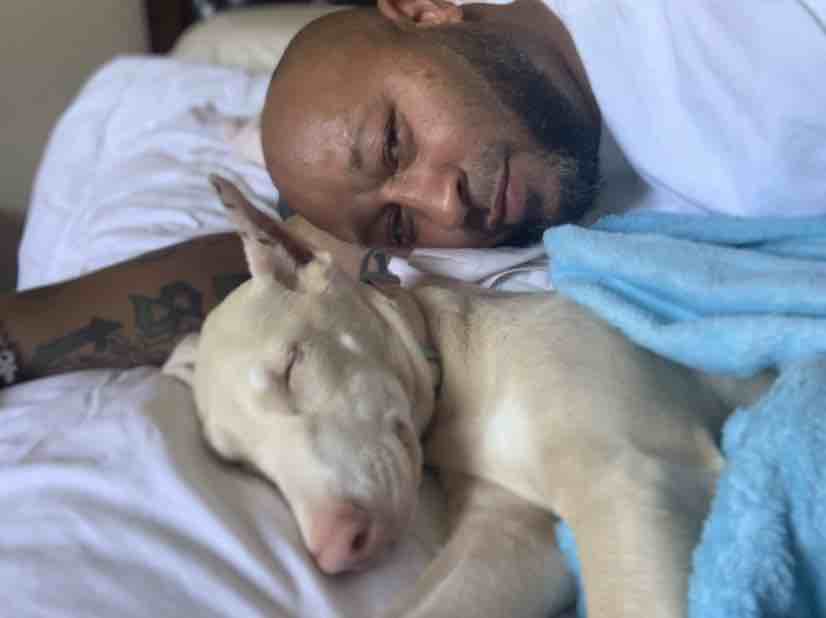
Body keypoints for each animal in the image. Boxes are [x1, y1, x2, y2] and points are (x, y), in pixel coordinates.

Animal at [164, 176, 774, 618]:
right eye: (244, 465)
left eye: (292, 367)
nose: (336, 549)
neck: (458, 378)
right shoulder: (509, 535)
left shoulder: (628, 475)